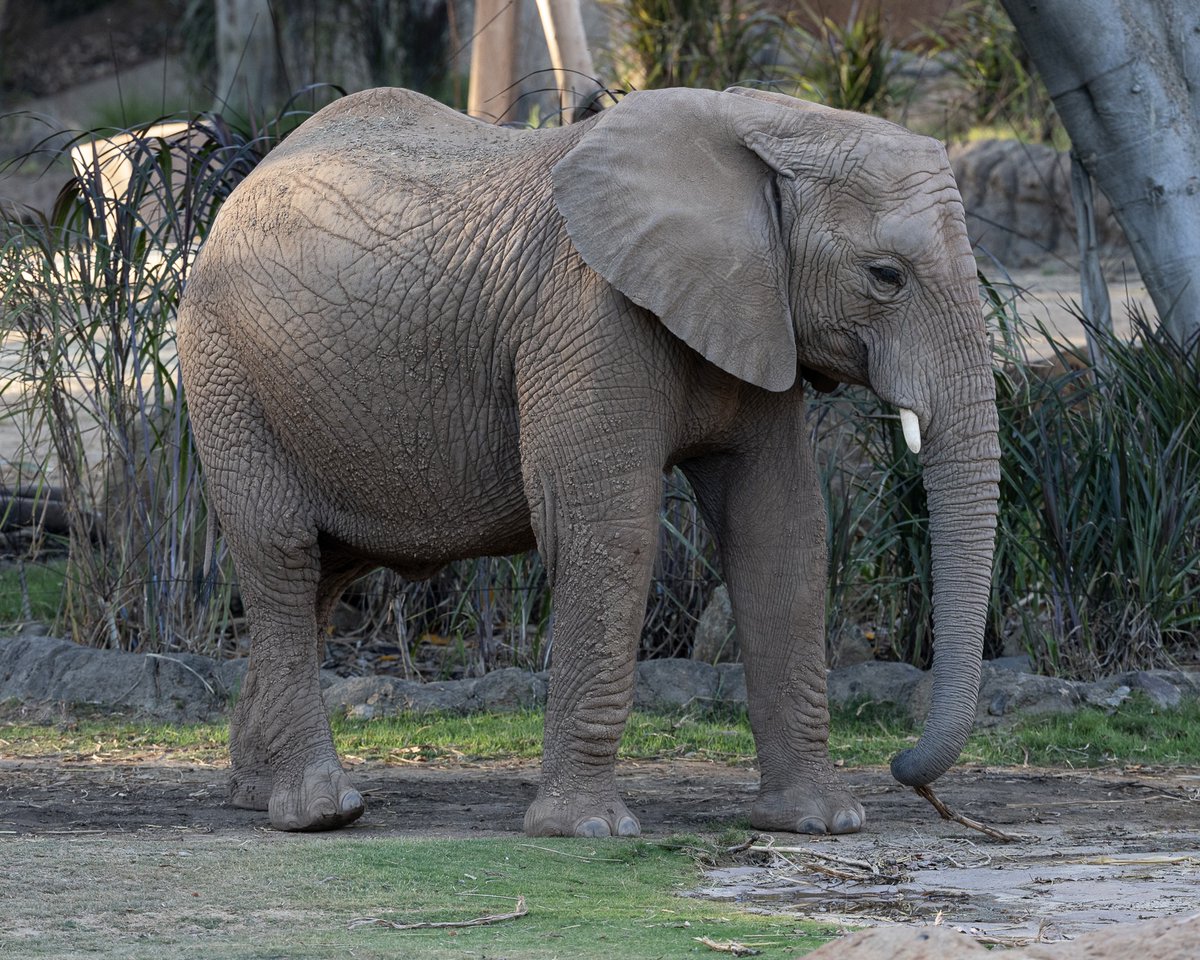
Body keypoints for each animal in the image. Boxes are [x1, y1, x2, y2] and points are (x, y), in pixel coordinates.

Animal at [176, 85, 1000, 838]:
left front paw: (821, 822)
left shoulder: (759, 315)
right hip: (225, 372)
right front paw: (587, 830)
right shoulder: (585, 311)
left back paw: (255, 796)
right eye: (886, 275)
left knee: (322, 574)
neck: (769, 122)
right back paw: (321, 813)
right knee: (282, 552)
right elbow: (608, 530)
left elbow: (781, 530)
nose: (906, 772)